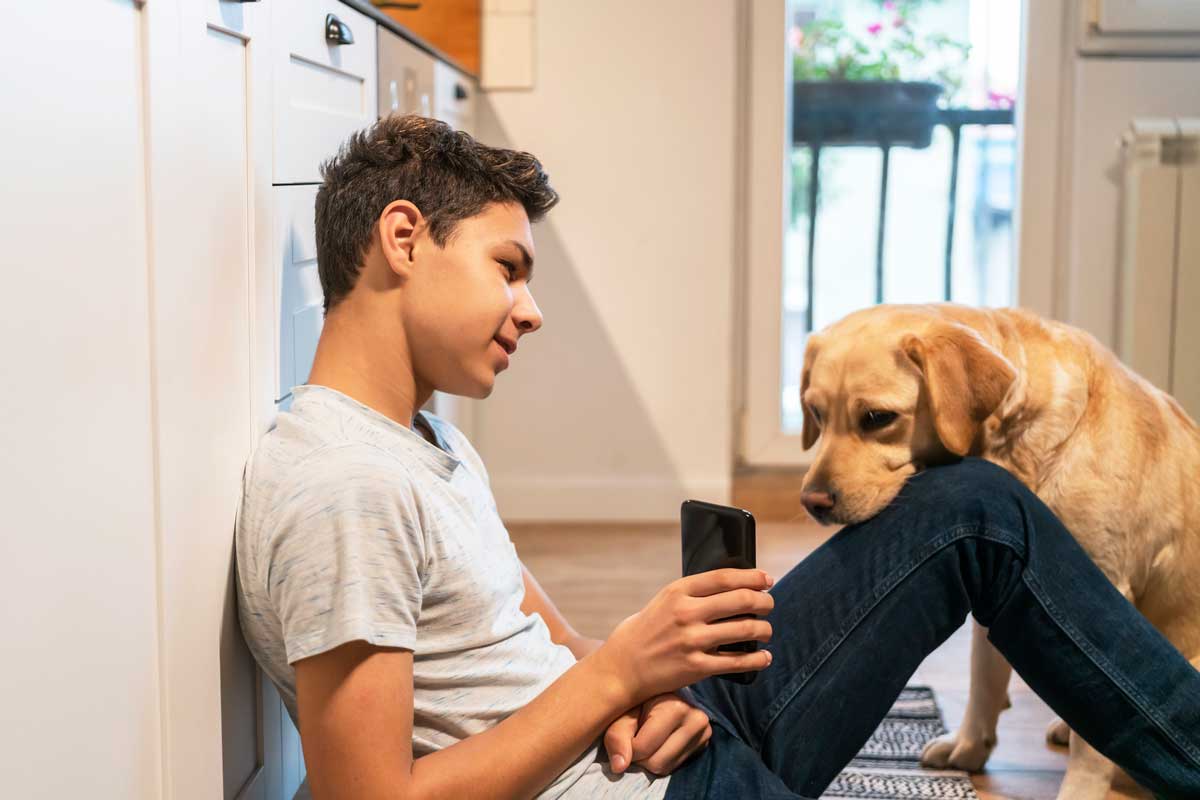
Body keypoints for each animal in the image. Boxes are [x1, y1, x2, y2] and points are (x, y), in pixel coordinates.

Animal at [796, 302, 1200, 800]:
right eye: (815, 412)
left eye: (877, 418)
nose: (812, 502)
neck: (1018, 446)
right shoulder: (1003, 563)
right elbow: (984, 679)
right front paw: (969, 748)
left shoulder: (1105, 589)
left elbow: (1097, 736)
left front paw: (1080, 788)